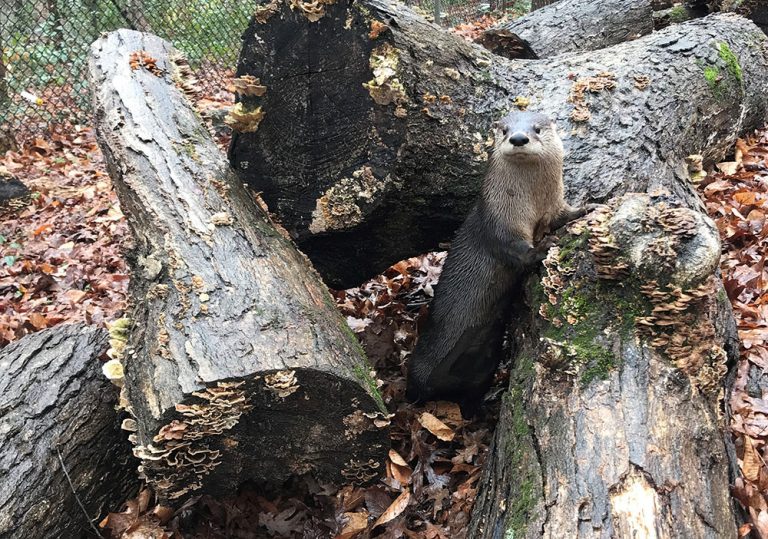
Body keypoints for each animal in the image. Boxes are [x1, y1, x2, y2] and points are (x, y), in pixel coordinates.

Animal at [406, 111, 585, 416]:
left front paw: (586, 208)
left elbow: (564, 215)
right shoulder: (501, 222)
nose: (519, 138)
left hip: (482, 373)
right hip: (419, 367)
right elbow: (515, 250)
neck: (531, 203)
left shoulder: (554, 206)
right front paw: (543, 247)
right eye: (504, 130)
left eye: (537, 129)